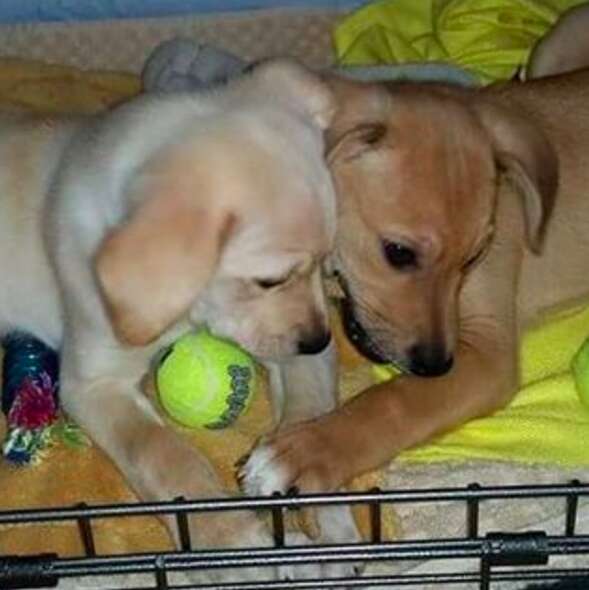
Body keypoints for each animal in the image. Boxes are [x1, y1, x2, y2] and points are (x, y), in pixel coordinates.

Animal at [0, 60, 358, 584]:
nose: (319, 339)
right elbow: (167, 457)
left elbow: (309, 408)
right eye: (268, 281)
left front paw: (314, 485)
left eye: (327, 262)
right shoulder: (93, 384)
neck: (188, 308)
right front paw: (238, 547)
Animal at [241, 67, 588, 498]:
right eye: (399, 253)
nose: (435, 366)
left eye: (475, 257)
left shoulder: (488, 353)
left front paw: (306, 451)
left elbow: (397, 399)